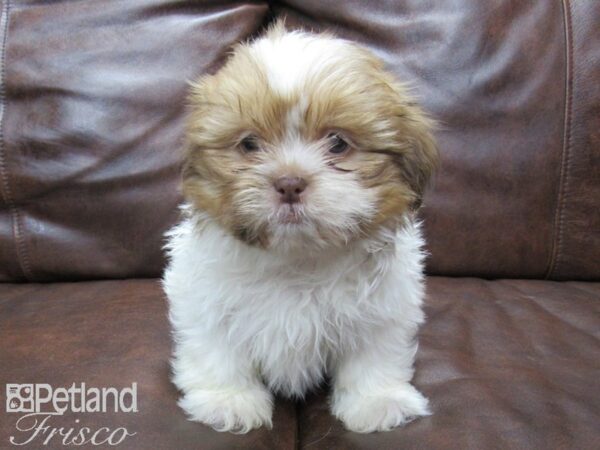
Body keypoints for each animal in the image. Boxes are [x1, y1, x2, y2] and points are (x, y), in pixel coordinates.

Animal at [162, 22, 438, 434]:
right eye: (249, 144)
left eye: (337, 143)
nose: (289, 183)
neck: (296, 260)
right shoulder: (203, 299)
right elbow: (218, 350)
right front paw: (227, 400)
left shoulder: (382, 308)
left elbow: (374, 354)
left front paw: (377, 401)